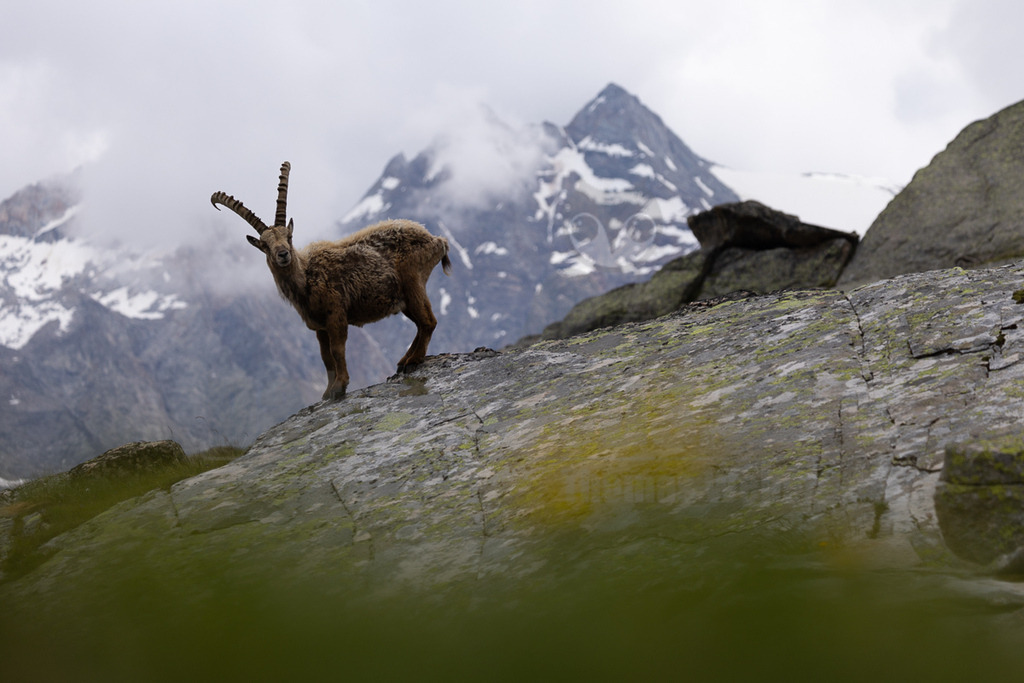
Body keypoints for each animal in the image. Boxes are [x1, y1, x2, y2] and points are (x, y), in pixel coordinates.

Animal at [211, 162, 452, 400]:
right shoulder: (319, 327)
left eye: (289, 237)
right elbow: (325, 357)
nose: (283, 254)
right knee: (421, 323)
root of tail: (436, 239)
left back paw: (413, 361)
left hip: (413, 282)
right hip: (403, 298)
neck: (307, 279)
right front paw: (327, 392)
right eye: (264, 245)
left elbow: (337, 350)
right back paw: (403, 361)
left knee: (428, 321)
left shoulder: (336, 315)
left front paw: (340, 387)